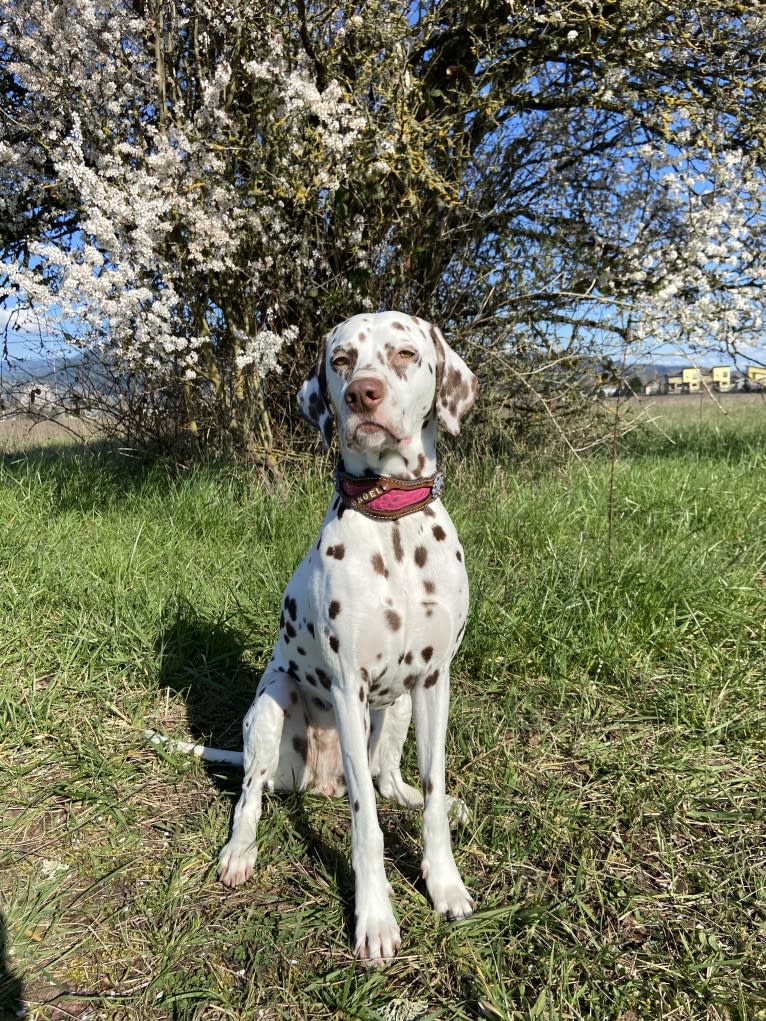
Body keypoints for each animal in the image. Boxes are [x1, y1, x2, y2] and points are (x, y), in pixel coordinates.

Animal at [199, 310, 473, 955]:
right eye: (341, 360)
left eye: (405, 353)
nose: (361, 395)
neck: (393, 521)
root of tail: (314, 781)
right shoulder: (350, 688)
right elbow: (365, 822)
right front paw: (375, 918)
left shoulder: (433, 682)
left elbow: (429, 795)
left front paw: (444, 883)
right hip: (270, 709)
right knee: (251, 795)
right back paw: (239, 853)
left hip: (399, 709)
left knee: (389, 778)